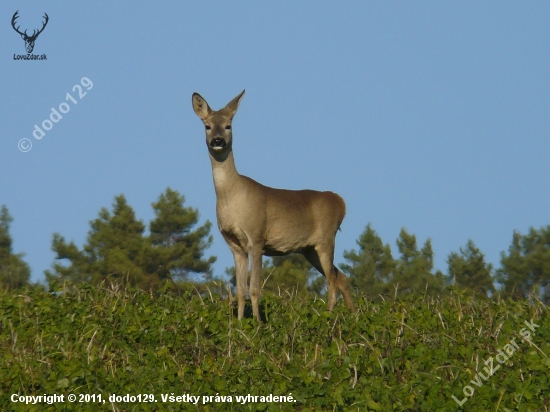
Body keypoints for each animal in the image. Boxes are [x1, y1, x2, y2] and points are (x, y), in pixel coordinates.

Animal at [194, 91, 356, 322]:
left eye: (228, 125)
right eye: (207, 126)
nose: (218, 141)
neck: (231, 197)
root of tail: (341, 203)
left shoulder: (257, 237)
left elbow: (254, 288)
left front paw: (258, 322)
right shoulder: (234, 245)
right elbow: (240, 290)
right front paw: (240, 322)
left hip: (326, 240)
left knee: (332, 281)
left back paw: (328, 316)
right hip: (309, 249)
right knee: (341, 276)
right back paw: (352, 314)